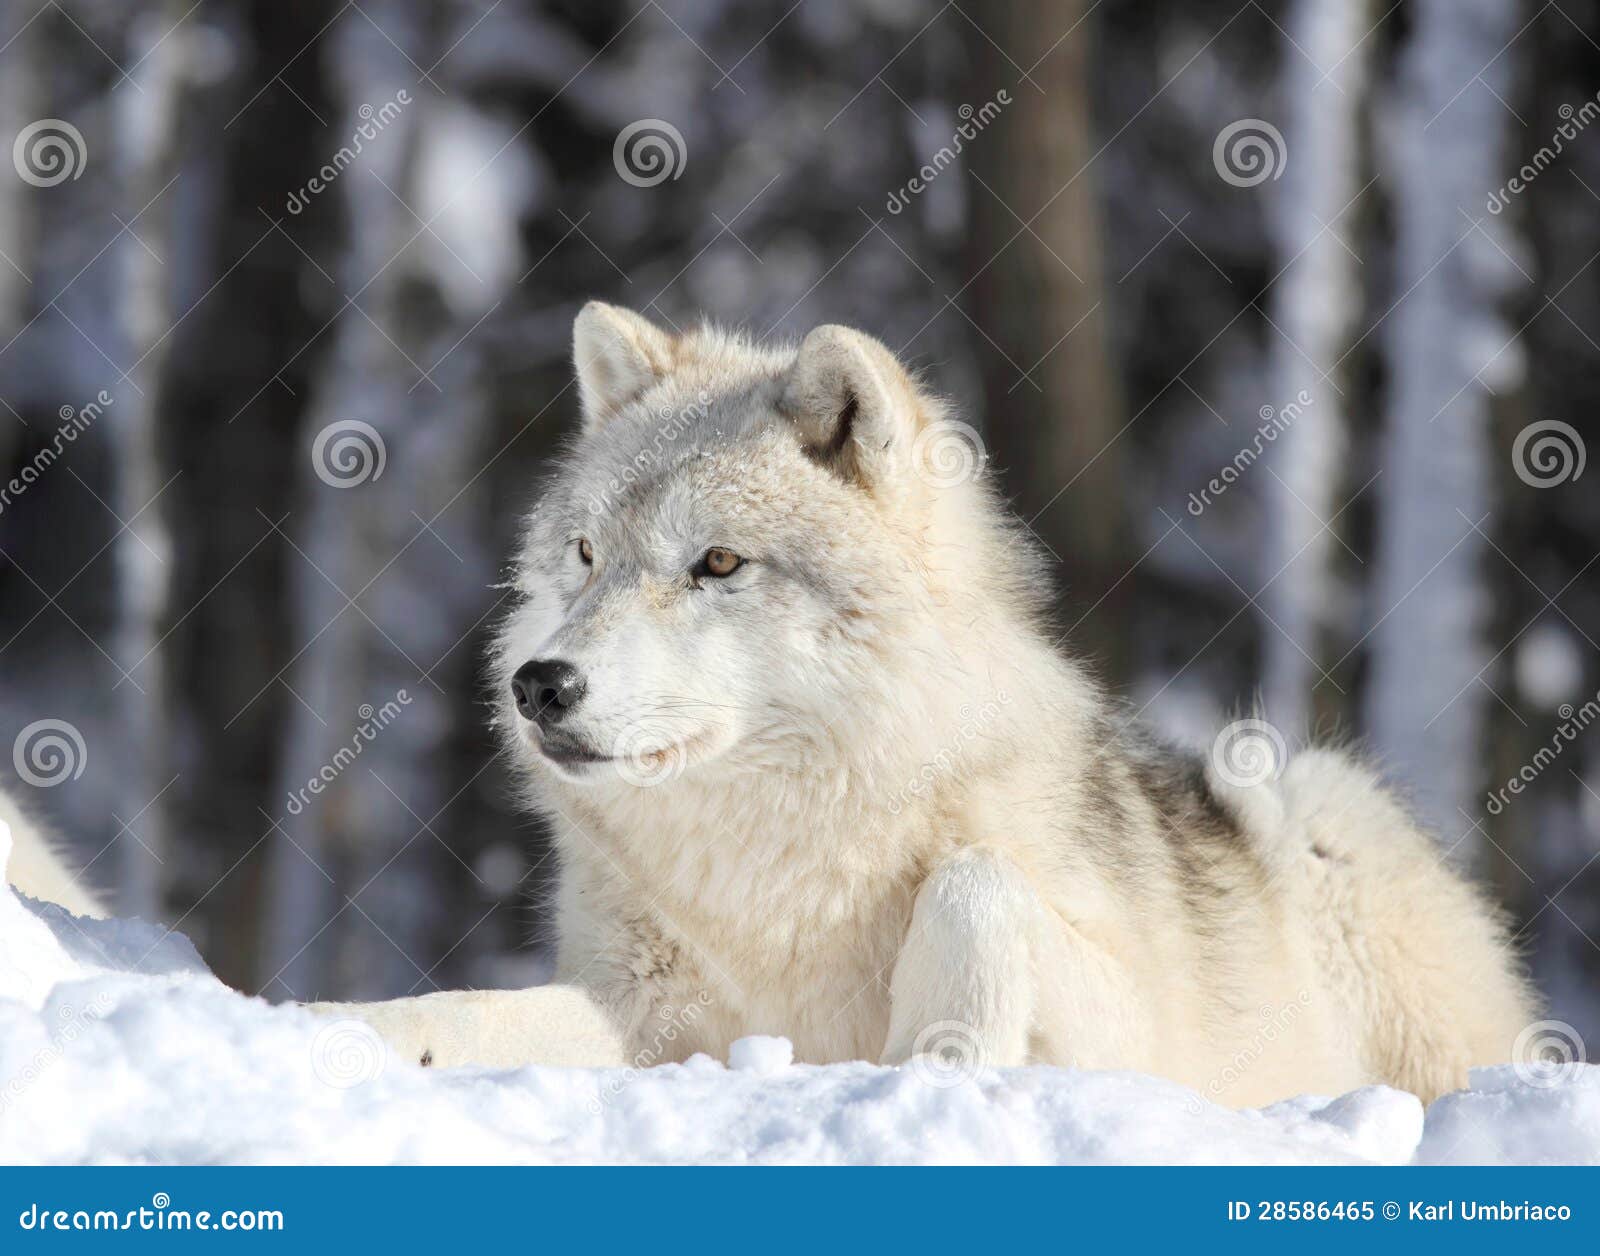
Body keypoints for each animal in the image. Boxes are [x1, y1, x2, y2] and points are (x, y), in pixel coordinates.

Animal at [305, 299, 1529, 1100]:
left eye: (716, 563)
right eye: (586, 557)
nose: (540, 684)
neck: (780, 863)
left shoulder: (1142, 1034)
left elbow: (973, 882)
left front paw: (939, 1070)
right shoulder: (643, 1015)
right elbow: (464, 1015)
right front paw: (327, 1032)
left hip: (1319, 804)